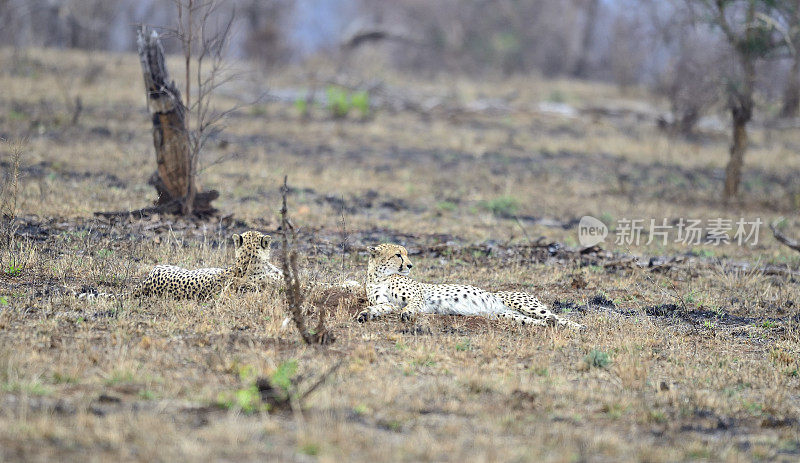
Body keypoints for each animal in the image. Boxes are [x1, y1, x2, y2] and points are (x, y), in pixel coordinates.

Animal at [356, 243, 580, 330]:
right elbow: (379, 307)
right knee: (544, 321)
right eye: (398, 254)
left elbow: (411, 305)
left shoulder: (417, 297)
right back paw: (548, 325)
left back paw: (579, 327)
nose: (410, 265)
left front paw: (408, 314)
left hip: (523, 304)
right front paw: (365, 314)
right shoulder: (388, 303)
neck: (380, 276)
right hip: (508, 315)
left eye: (406, 254)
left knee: (557, 316)